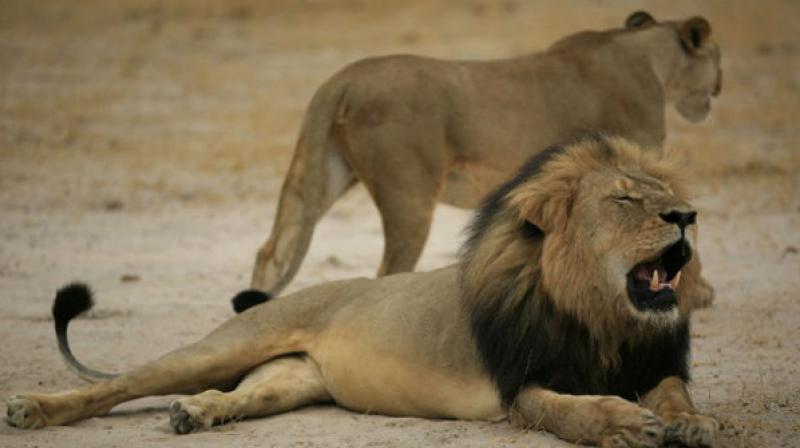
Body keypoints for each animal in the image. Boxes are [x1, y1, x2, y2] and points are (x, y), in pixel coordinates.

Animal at [6, 136, 716, 448]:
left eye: (666, 196)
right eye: (626, 200)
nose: (687, 215)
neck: (603, 317)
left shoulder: (653, 362)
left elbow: (674, 393)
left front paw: (690, 424)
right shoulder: (522, 385)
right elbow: (574, 411)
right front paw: (624, 424)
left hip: (289, 379)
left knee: (238, 395)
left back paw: (195, 415)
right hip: (224, 346)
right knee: (116, 386)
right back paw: (33, 409)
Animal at [247, 10, 720, 306]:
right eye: (717, 59)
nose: (718, 88)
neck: (649, 57)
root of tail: (342, 77)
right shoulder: (636, 163)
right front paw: (697, 293)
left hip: (324, 173)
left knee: (272, 250)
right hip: (409, 194)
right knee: (387, 271)